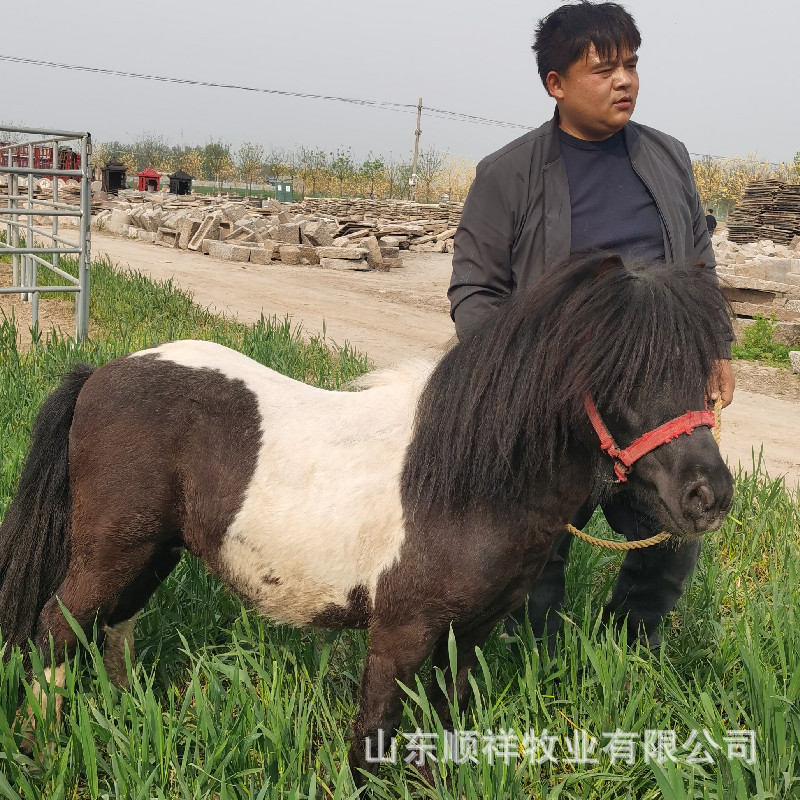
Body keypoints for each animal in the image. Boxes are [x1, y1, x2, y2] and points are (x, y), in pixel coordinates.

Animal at [0, 251, 734, 783]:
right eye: (618, 374)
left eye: (704, 372)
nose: (711, 495)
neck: (464, 482)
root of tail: (99, 374)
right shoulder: (401, 633)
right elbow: (372, 739)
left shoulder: (468, 637)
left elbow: (441, 728)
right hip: (111, 552)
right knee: (56, 631)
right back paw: (41, 748)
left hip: (154, 551)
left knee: (111, 628)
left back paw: (118, 720)